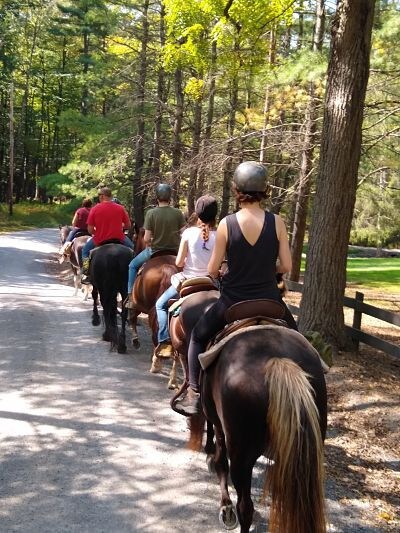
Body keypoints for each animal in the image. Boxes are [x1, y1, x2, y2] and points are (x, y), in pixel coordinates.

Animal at [170, 296, 328, 532]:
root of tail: (278, 361)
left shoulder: (220, 425)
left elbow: (220, 461)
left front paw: (225, 507)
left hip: (242, 453)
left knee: (245, 506)